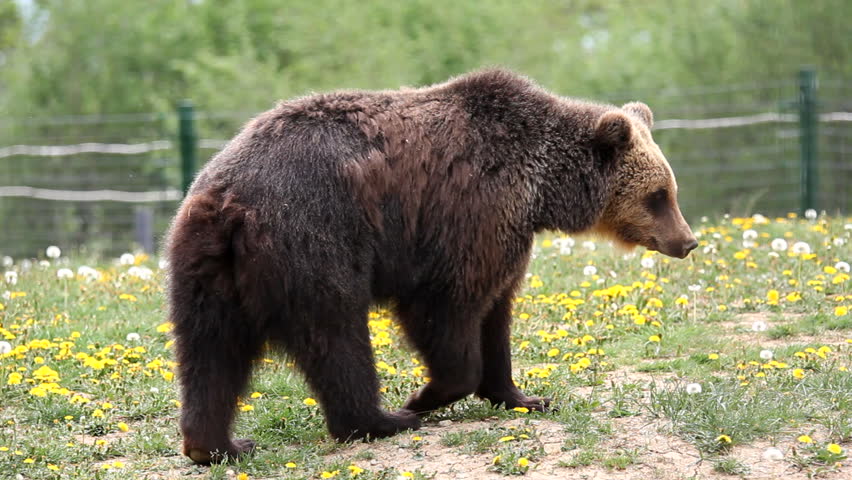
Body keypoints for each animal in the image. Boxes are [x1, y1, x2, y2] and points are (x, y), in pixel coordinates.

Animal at [163, 69, 696, 464]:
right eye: (658, 195)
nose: (687, 241)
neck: (540, 189)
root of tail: (229, 201)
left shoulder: (506, 236)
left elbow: (496, 314)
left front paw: (523, 395)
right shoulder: (469, 214)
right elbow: (450, 307)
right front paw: (425, 395)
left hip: (205, 267)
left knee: (210, 352)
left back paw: (219, 445)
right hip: (313, 236)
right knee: (336, 333)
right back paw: (381, 420)